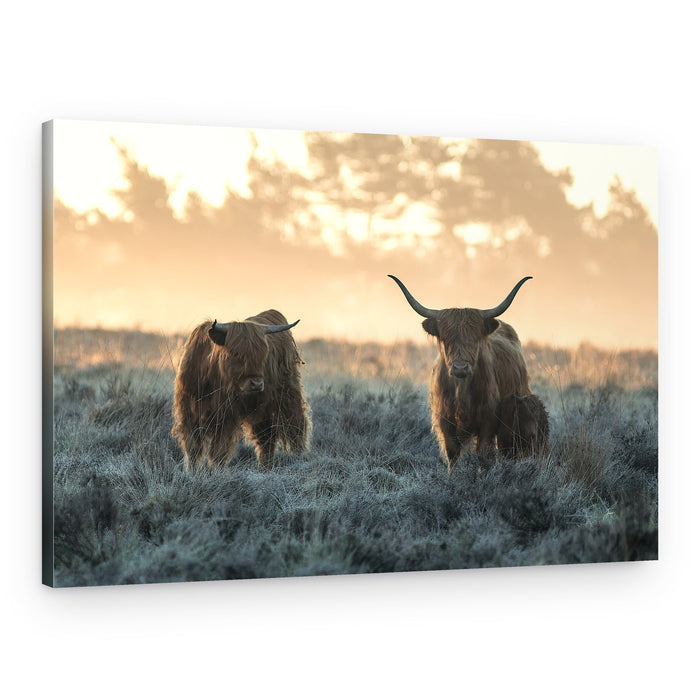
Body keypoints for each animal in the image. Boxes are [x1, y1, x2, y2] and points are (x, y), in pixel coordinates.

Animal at [171, 309, 311, 472]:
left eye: (263, 355)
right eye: (236, 354)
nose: (256, 384)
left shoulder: (225, 416)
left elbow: (218, 450)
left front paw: (216, 471)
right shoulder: (189, 412)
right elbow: (193, 447)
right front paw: (192, 472)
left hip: (287, 396)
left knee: (294, 427)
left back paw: (297, 458)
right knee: (266, 437)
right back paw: (265, 467)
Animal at [389, 274, 532, 472]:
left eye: (475, 338)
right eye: (446, 338)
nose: (460, 368)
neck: (461, 390)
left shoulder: (488, 421)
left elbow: (482, 452)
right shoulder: (445, 421)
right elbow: (452, 453)